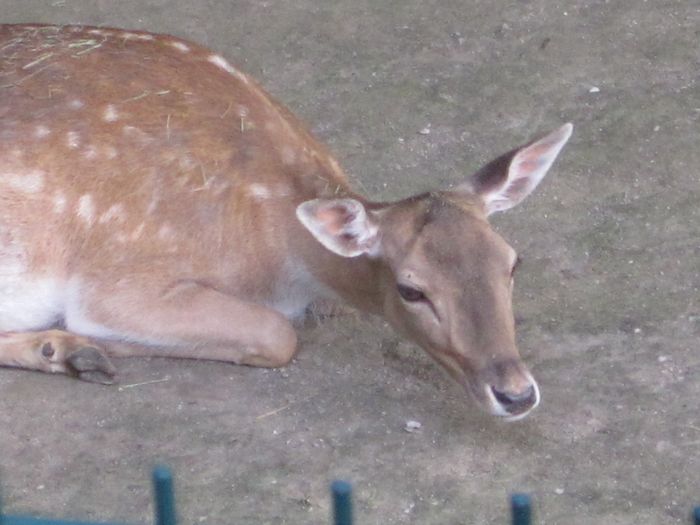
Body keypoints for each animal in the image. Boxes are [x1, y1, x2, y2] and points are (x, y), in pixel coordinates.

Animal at [0, 24, 576, 420]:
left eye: (512, 263)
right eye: (412, 290)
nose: (516, 393)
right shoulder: (118, 279)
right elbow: (279, 334)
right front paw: (91, 338)